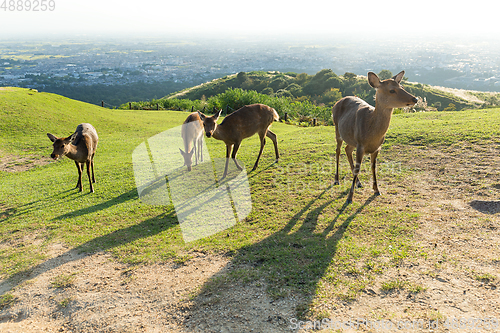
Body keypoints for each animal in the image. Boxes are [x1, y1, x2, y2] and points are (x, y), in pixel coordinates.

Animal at [332, 70, 418, 202]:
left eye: (402, 86)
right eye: (392, 90)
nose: (415, 98)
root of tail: (337, 102)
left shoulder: (377, 147)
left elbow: (373, 167)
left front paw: (377, 190)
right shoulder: (361, 145)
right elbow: (358, 168)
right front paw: (350, 197)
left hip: (351, 140)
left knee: (347, 149)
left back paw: (359, 183)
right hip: (337, 128)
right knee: (338, 150)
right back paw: (336, 180)